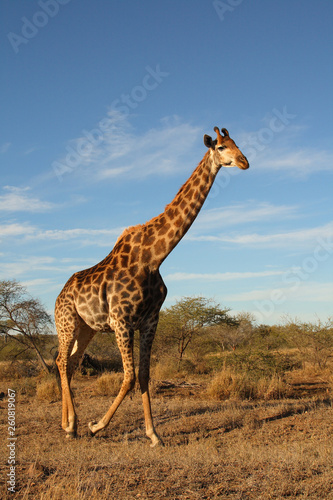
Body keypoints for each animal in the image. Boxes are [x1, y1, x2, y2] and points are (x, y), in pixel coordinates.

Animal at [54, 127, 248, 448]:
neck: (154, 257)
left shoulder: (149, 320)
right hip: (67, 323)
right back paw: (72, 426)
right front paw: (97, 426)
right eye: (221, 147)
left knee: (69, 363)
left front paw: (154, 435)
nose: (245, 162)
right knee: (60, 360)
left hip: (87, 328)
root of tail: (58, 296)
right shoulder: (121, 320)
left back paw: (70, 425)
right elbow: (130, 377)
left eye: (238, 144)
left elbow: (144, 375)